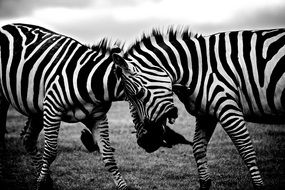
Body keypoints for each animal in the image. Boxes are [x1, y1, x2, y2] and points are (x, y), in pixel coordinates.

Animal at [0, 23, 128, 189]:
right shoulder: (52, 108)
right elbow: (50, 152)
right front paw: (41, 184)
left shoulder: (95, 116)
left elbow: (107, 153)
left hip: (37, 108)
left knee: (28, 139)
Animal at [111, 27, 284, 189]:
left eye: (139, 94)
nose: (145, 142)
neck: (199, 70)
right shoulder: (206, 114)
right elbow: (198, 148)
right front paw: (204, 183)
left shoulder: (228, 108)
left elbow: (246, 150)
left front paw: (259, 185)